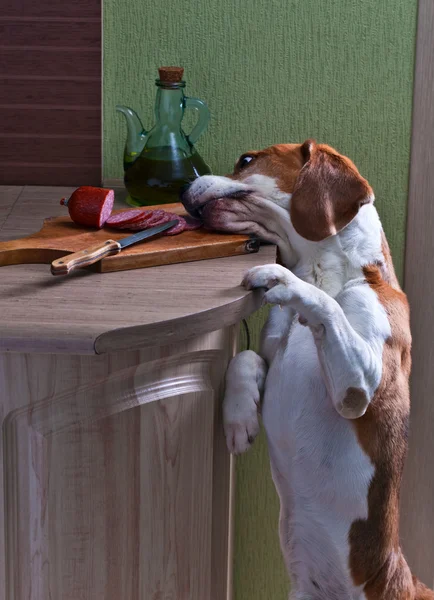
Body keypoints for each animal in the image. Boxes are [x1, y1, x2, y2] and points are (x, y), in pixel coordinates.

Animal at [181, 142, 434, 600]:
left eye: (246, 160)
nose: (180, 188)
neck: (326, 272)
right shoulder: (272, 353)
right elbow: (246, 359)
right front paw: (239, 419)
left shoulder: (357, 388)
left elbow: (324, 304)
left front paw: (282, 278)